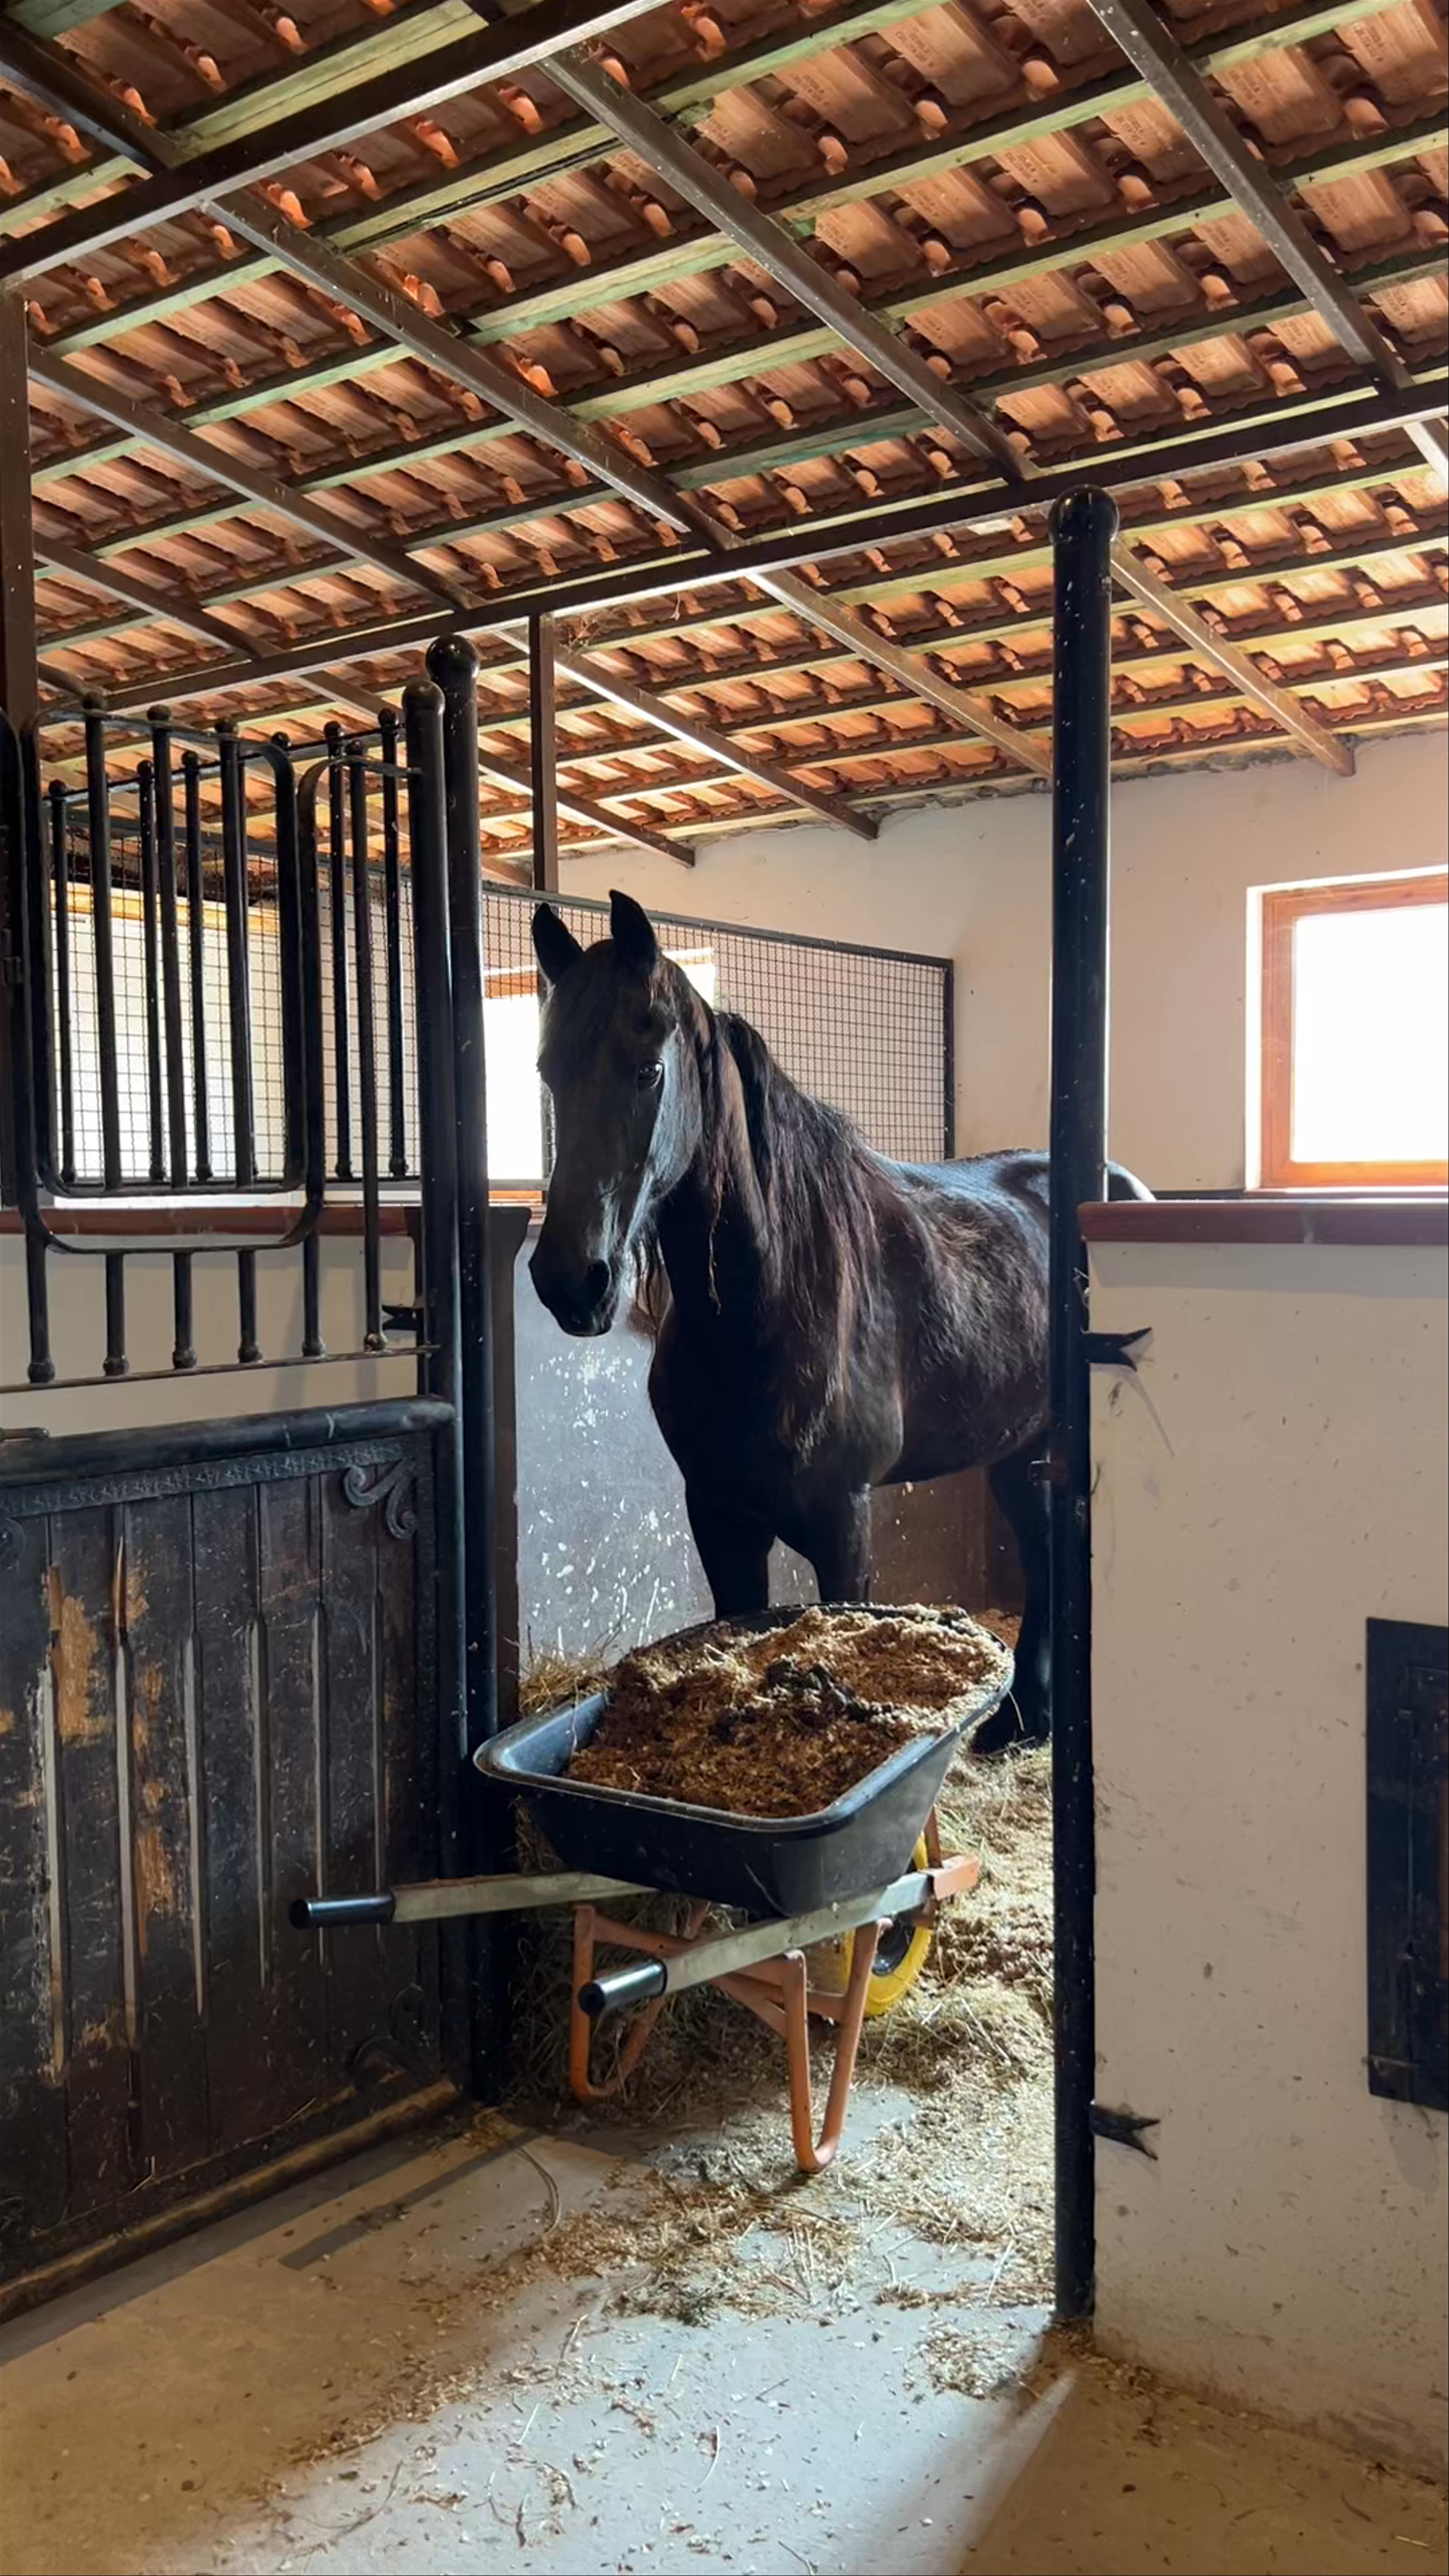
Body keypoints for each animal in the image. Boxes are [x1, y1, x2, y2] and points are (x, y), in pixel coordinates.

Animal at [528, 890, 1150, 1754]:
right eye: (549, 1072)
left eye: (648, 1070)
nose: (570, 1280)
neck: (767, 1304)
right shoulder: (718, 1517)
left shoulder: (843, 1525)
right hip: (1020, 1455)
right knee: (1045, 1555)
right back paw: (1021, 1723)